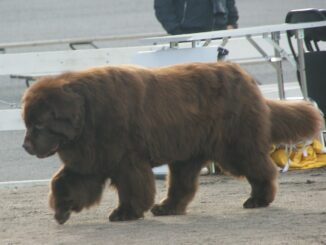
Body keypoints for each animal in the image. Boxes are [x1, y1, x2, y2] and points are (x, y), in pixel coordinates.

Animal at [21, 61, 322, 224]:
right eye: (27, 124)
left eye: (39, 125)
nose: (25, 146)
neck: (87, 113)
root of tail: (245, 77)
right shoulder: (92, 158)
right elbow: (63, 181)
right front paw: (61, 211)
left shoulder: (125, 159)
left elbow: (133, 187)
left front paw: (126, 212)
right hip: (187, 153)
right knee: (183, 184)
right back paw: (167, 207)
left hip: (234, 145)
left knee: (260, 168)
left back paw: (259, 199)